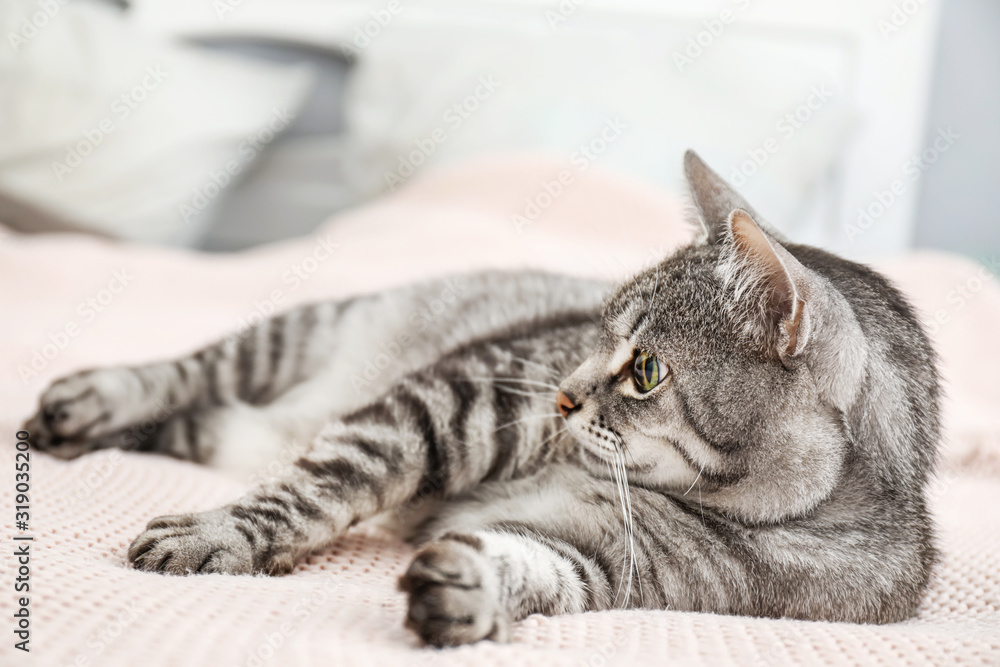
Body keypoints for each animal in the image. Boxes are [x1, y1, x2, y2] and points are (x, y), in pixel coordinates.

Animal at [21, 151, 936, 648]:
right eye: (595, 333)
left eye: (646, 370)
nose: (563, 395)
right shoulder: (454, 402)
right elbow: (320, 486)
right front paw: (220, 534)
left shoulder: (607, 567)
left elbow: (530, 568)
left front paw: (469, 591)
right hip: (304, 332)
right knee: (194, 372)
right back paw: (85, 401)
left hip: (252, 419)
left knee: (210, 421)